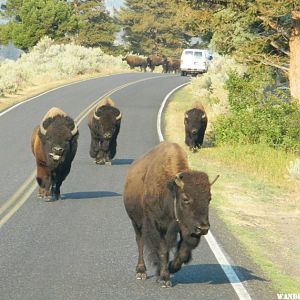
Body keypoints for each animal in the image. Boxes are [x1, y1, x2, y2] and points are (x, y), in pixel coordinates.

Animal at [122, 142, 218, 288]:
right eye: (185, 199)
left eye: (209, 198)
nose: (203, 228)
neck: (170, 191)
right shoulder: (156, 226)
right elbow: (163, 250)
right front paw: (165, 279)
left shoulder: (186, 228)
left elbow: (184, 250)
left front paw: (172, 267)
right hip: (136, 222)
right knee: (140, 241)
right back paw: (141, 271)